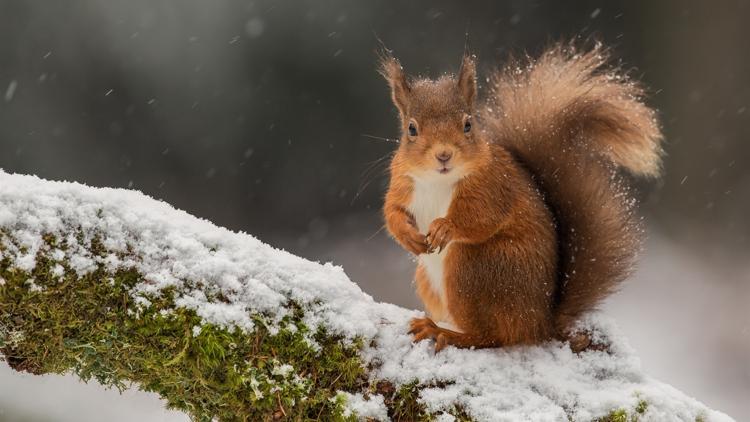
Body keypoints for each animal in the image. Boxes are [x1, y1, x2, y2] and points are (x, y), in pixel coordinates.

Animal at [382, 43, 664, 352]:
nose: (443, 155)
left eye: (468, 124)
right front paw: (406, 235)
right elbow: (392, 211)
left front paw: (446, 226)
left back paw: (444, 332)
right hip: (434, 278)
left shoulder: (493, 187)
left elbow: (480, 217)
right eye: (411, 128)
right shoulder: (402, 183)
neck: (438, 180)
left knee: (493, 336)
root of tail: (540, 322)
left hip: (476, 267)